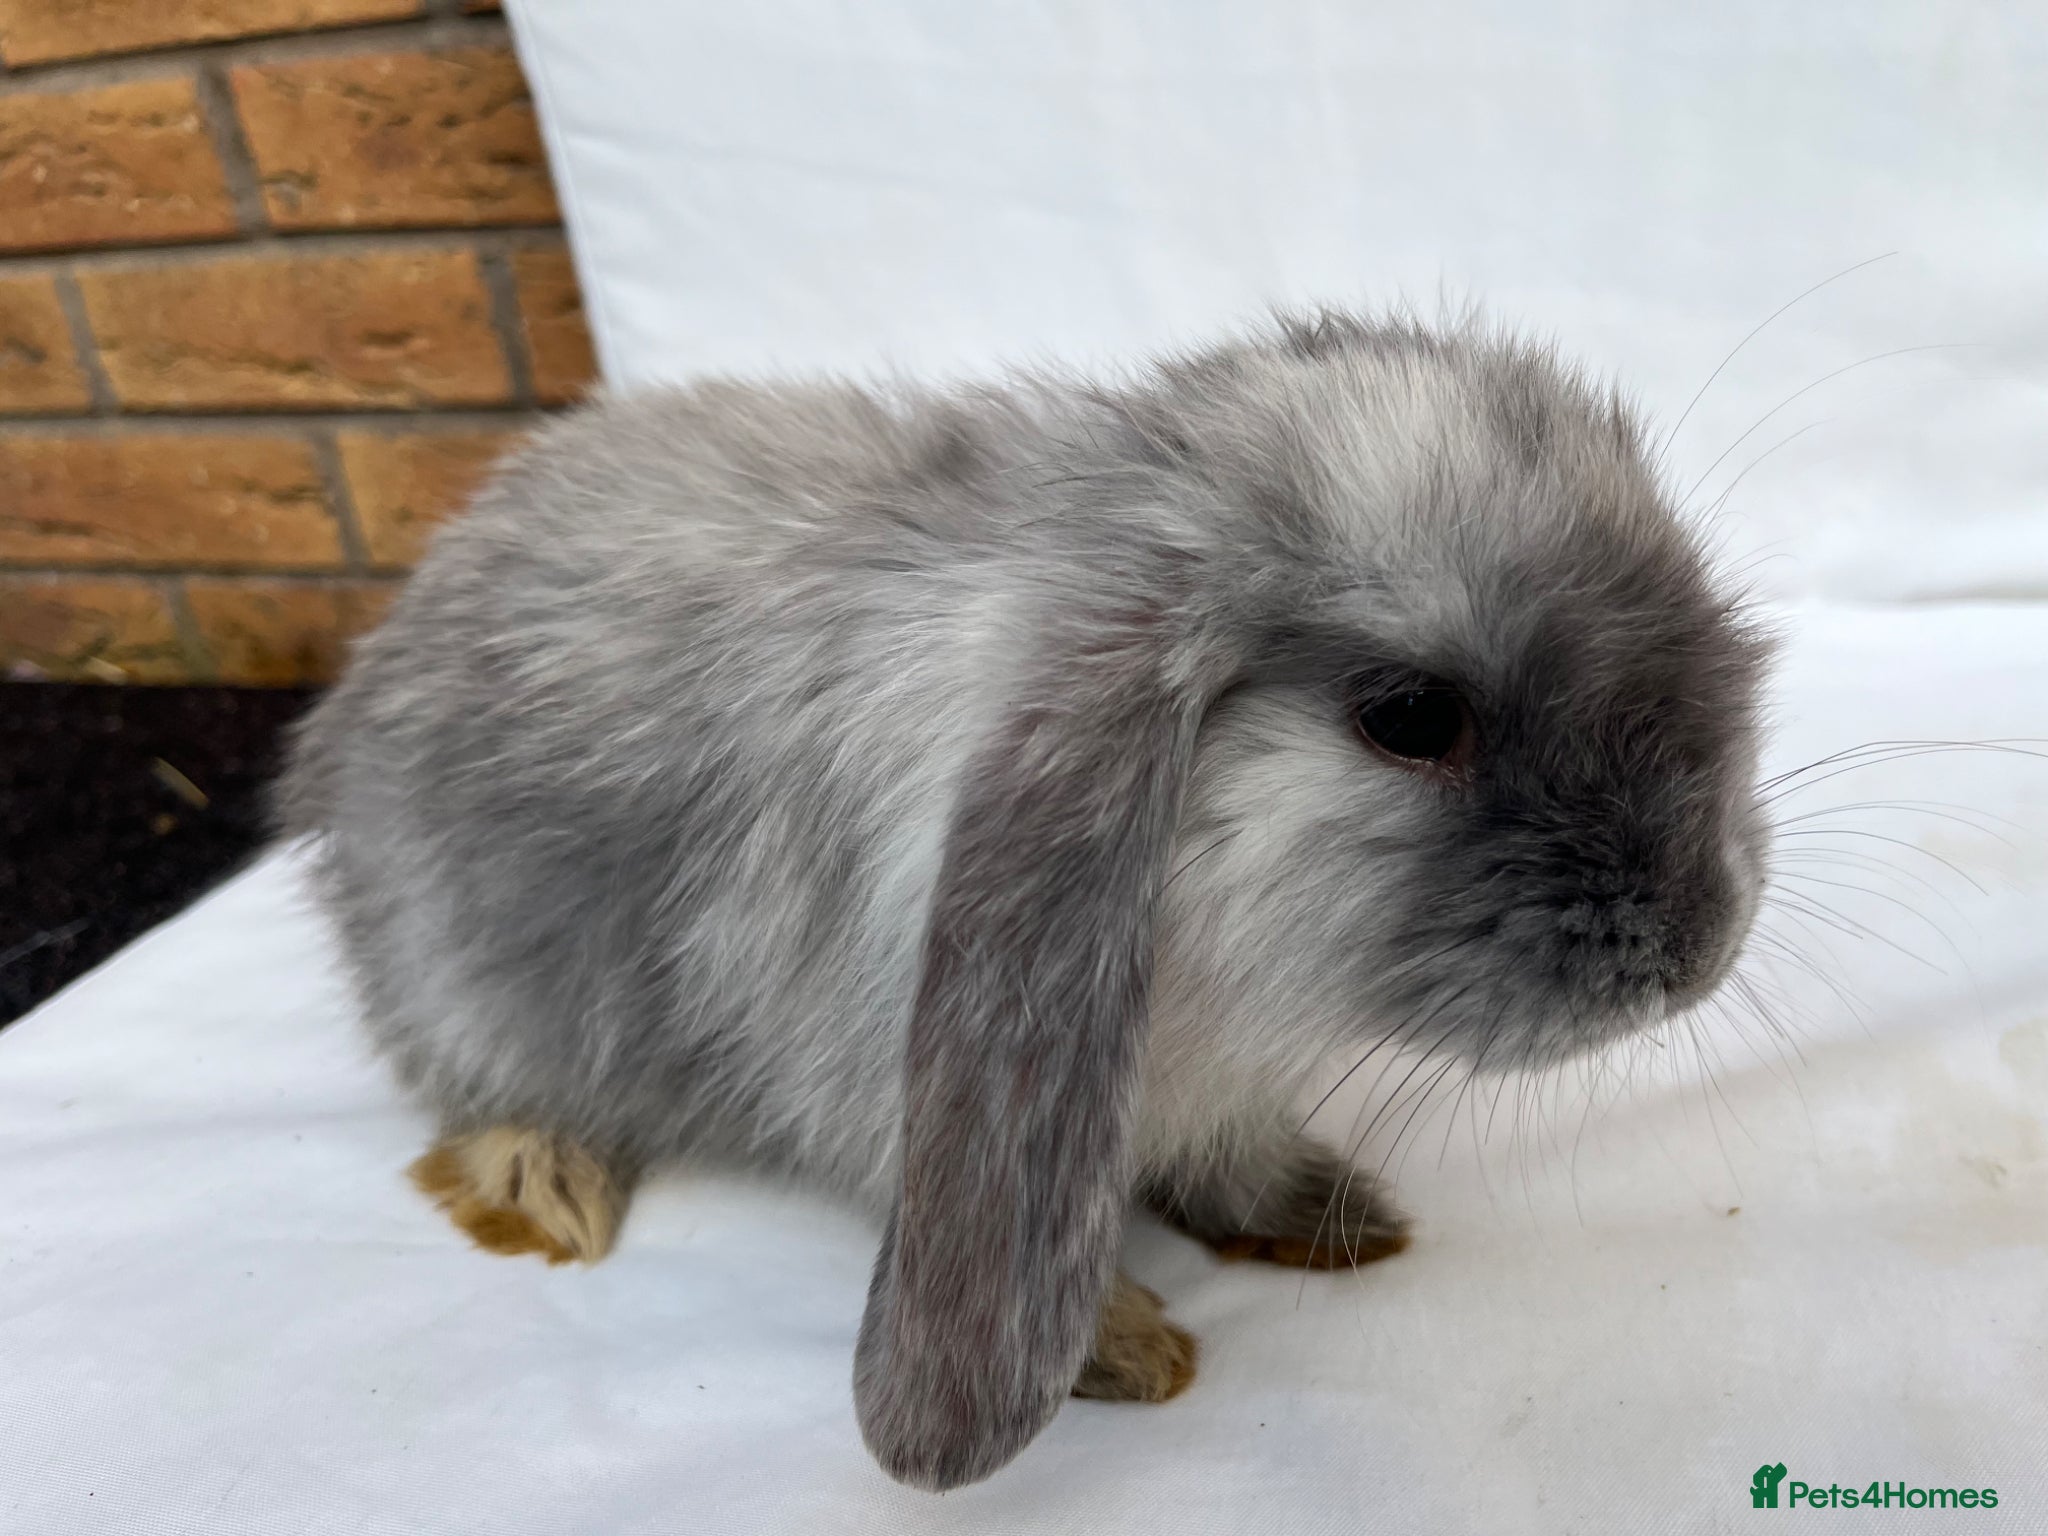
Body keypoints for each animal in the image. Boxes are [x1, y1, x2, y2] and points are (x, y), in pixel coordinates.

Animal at [280, 310, 1772, 1492]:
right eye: (1408, 716)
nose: (1703, 941)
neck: (1213, 965)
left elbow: (1235, 1153)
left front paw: (1327, 1215)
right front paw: (1132, 1352)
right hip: (459, 982)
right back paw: (543, 1182)